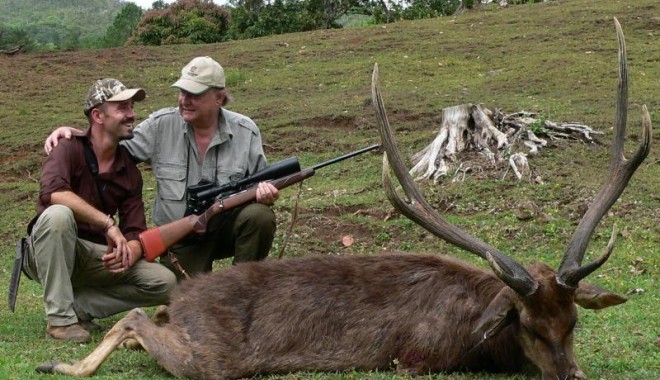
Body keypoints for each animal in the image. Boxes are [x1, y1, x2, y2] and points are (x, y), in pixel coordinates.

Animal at [38, 18, 652, 380]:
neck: (481, 335)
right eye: (526, 324)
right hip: (208, 356)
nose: (571, 376)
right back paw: (64, 364)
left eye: (573, 323)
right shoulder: (418, 359)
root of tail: (185, 297)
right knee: (135, 318)